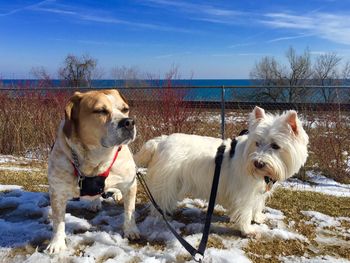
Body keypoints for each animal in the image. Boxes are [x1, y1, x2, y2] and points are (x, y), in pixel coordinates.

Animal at [46, 89, 139, 255]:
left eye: (125, 109)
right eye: (100, 111)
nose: (129, 122)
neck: (97, 158)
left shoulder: (130, 184)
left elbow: (130, 211)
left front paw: (131, 230)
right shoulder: (57, 191)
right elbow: (58, 220)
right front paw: (57, 243)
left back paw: (116, 194)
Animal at [135, 107, 308, 237]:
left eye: (275, 146)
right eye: (257, 143)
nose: (258, 163)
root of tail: (160, 141)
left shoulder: (257, 191)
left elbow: (257, 205)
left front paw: (258, 217)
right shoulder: (243, 194)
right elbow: (245, 211)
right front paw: (248, 230)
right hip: (166, 183)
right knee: (158, 203)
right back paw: (161, 219)